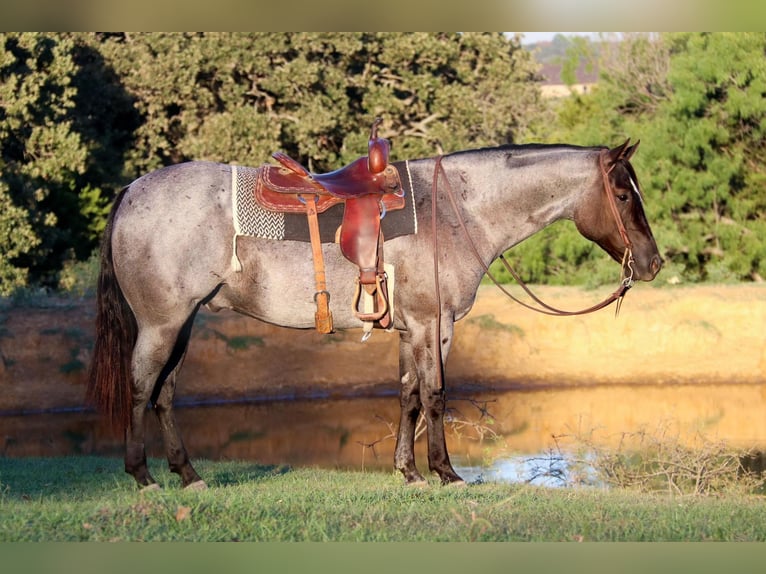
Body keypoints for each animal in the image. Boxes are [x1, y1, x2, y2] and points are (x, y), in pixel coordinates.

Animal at [87, 138, 664, 490]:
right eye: (622, 192)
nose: (654, 263)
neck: (456, 210)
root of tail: (132, 190)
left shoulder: (411, 330)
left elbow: (407, 395)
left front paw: (408, 472)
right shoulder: (435, 325)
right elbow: (435, 394)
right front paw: (445, 472)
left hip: (185, 323)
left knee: (164, 393)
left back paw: (189, 475)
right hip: (162, 325)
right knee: (141, 387)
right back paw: (143, 476)